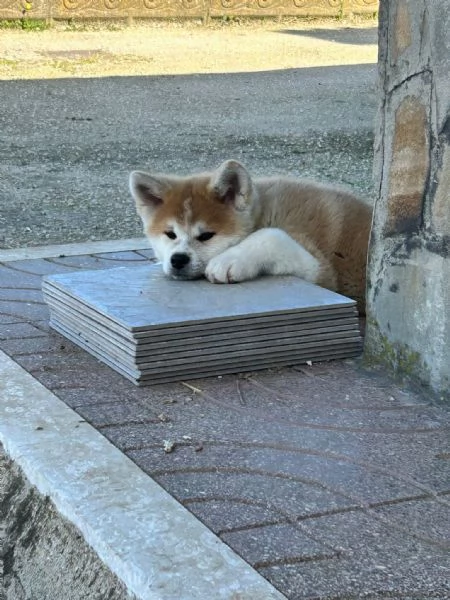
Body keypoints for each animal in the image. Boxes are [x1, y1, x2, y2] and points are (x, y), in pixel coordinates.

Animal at [128, 159, 370, 312]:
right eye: (170, 234)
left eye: (206, 236)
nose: (178, 259)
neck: (265, 212)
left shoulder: (321, 270)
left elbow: (272, 235)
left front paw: (228, 260)